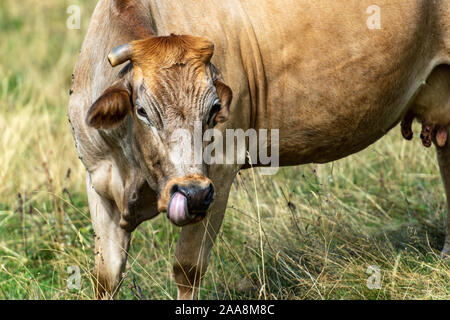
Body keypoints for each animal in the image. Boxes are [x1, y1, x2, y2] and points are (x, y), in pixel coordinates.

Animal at [67, 0, 450, 300]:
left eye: (213, 109)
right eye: (143, 111)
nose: (192, 193)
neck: (135, 171)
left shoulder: (220, 173)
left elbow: (187, 268)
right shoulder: (97, 182)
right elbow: (106, 277)